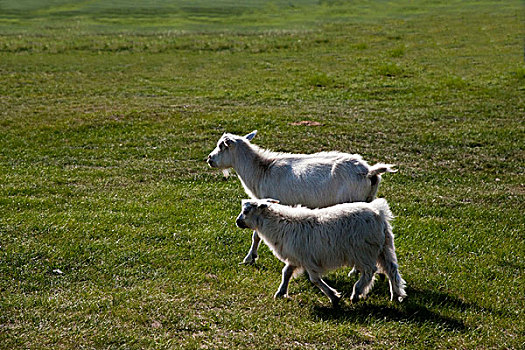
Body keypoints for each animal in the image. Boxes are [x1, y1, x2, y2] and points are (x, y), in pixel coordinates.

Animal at [207, 131, 396, 266]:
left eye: (221, 146)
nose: (209, 159)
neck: (262, 170)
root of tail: (369, 172)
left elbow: (256, 235)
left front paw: (249, 258)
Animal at [235, 198, 408, 304]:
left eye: (246, 211)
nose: (237, 222)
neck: (281, 223)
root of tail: (379, 213)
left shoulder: (308, 260)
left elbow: (315, 280)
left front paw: (333, 296)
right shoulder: (295, 258)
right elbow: (286, 273)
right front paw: (281, 292)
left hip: (364, 251)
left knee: (370, 271)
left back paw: (356, 293)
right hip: (383, 247)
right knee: (391, 269)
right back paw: (396, 295)